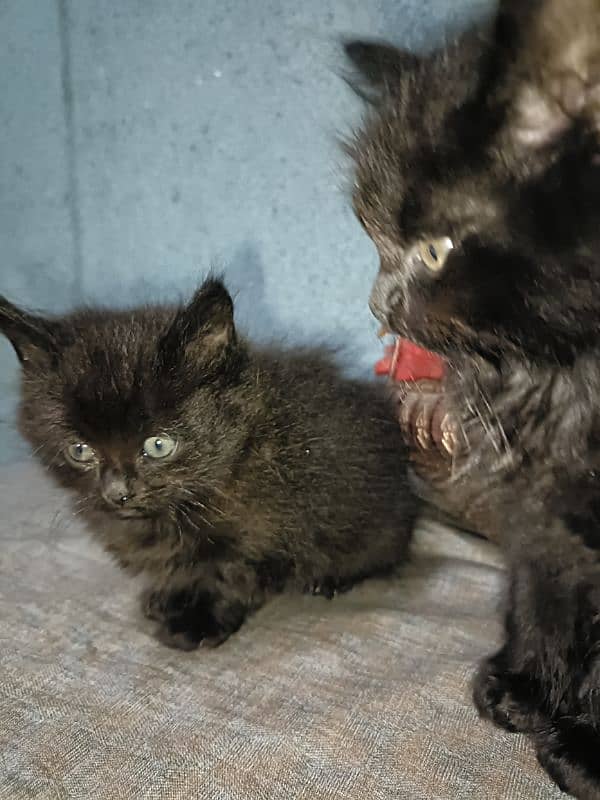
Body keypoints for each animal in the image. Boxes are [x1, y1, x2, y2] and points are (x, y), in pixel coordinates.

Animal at [0, 278, 418, 648]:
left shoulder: (263, 534)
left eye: (158, 445)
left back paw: (331, 580)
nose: (118, 491)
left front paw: (197, 623)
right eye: (80, 450)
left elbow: (229, 576)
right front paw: (169, 599)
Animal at [346, 0, 600, 796]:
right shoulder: (541, 520)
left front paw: (581, 749)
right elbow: (541, 594)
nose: (377, 304)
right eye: (373, 238)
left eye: (434, 250)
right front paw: (527, 690)